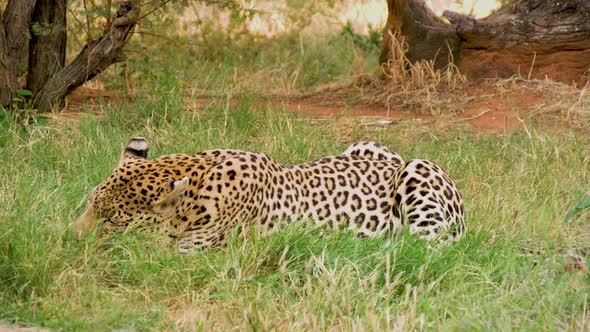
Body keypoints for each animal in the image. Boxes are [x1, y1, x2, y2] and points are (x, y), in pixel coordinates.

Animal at [75, 136, 468, 250]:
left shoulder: (194, 251)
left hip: (417, 171)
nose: (68, 238)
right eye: (90, 204)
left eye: (112, 221)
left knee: (429, 249)